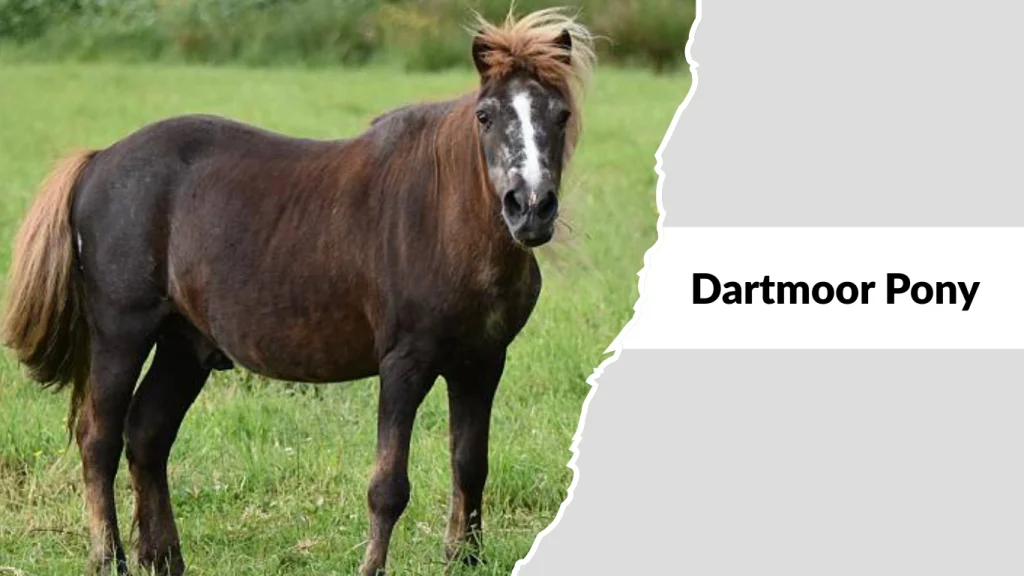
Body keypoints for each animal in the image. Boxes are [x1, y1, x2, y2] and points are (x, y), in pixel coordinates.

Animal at [1, 7, 594, 576]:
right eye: (486, 115)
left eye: (560, 114)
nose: (531, 207)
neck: (445, 218)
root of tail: (98, 162)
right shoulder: (405, 363)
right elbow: (388, 485)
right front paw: (372, 566)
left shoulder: (482, 363)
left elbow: (470, 465)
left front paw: (463, 559)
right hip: (121, 335)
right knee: (98, 438)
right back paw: (109, 558)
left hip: (184, 345)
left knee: (147, 434)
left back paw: (164, 557)